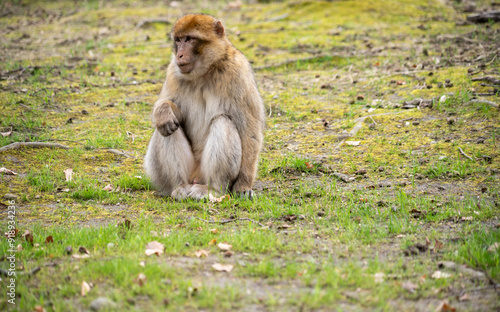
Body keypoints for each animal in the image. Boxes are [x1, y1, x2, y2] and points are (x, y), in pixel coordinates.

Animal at [144, 14, 266, 200]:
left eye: (189, 39)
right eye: (178, 40)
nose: (179, 55)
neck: (205, 71)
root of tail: (196, 178)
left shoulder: (238, 72)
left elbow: (249, 131)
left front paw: (243, 185)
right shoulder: (173, 71)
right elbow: (175, 116)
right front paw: (163, 111)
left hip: (208, 173)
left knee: (222, 121)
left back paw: (213, 189)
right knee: (166, 129)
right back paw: (179, 186)